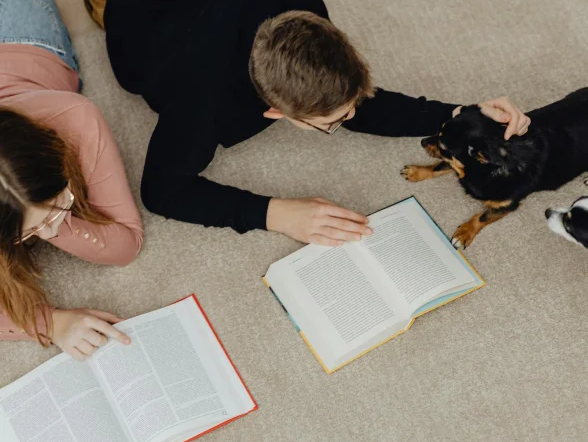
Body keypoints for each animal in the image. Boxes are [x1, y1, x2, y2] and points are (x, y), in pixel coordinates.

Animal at [402, 88, 588, 249]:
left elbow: (482, 216)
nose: (422, 142)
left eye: (444, 148)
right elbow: (438, 167)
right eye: (438, 130)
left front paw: (463, 234)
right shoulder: (458, 165)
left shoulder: (505, 205)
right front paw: (416, 171)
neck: (484, 171)